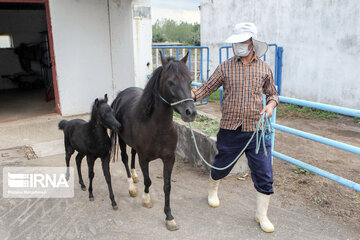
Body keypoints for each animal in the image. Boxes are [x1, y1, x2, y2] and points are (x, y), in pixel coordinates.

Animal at [112, 51, 197, 230]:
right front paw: (146, 199)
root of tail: (122, 94)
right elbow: (148, 180)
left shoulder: (169, 158)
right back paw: (131, 187)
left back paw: (134, 175)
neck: (158, 128)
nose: (190, 112)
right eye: (171, 82)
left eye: (190, 81)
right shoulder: (144, 158)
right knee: (125, 158)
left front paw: (169, 217)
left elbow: (167, 186)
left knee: (132, 154)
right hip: (122, 141)